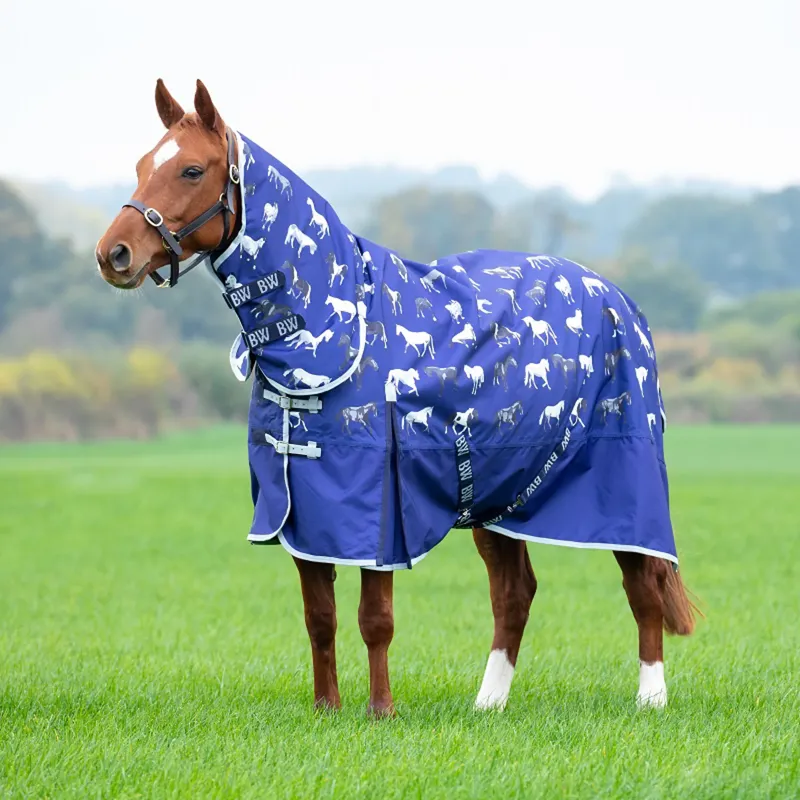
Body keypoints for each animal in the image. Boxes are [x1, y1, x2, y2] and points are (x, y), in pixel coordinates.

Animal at [95, 79, 696, 718]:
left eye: (190, 169)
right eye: (142, 165)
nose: (114, 254)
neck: (330, 337)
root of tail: (619, 300)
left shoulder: (380, 515)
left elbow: (374, 618)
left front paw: (380, 710)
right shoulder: (305, 515)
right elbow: (320, 617)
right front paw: (327, 708)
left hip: (623, 482)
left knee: (642, 586)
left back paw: (651, 698)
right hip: (498, 496)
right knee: (514, 593)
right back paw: (488, 704)